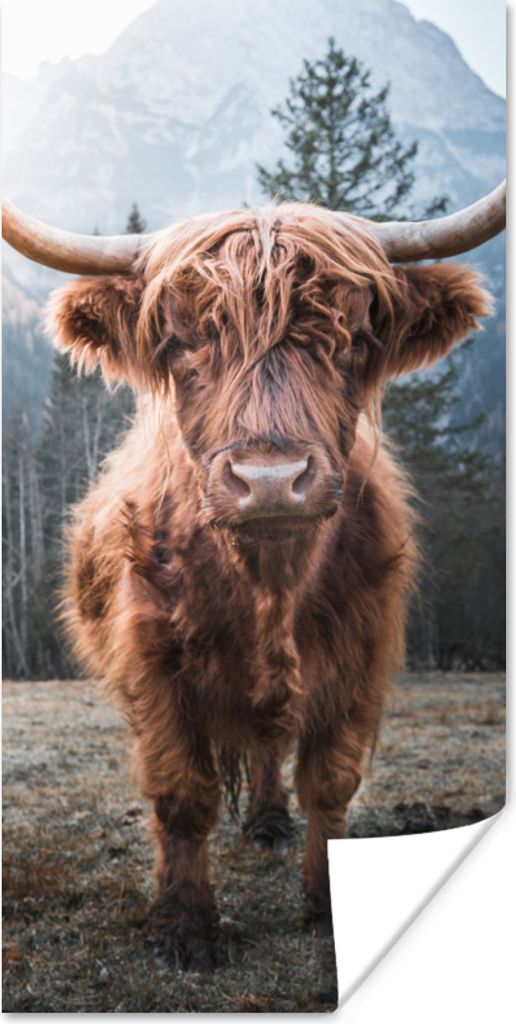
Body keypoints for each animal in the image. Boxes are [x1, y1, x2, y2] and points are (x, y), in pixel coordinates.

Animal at [2, 184, 506, 970]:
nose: (270, 481)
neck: (269, 583)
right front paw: (182, 928)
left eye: (353, 338)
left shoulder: (360, 657)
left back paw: (270, 822)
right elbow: (182, 792)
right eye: (181, 342)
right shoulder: (153, 660)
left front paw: (328, 906)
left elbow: (329, 784)